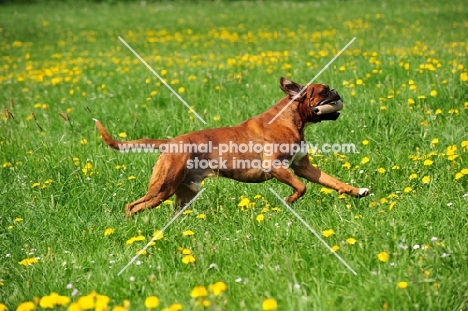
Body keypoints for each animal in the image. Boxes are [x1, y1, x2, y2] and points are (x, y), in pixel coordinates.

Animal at [93, 77, 368, 216]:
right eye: (323, 92)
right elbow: (301, 188)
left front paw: (357, 191)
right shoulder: (277, 168)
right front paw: (289, 201)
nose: (336, 91)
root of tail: (170, 143)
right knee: (133, 206)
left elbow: (333, 182)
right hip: (162, 188)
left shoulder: (304, 168)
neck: (291, 119)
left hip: (183, 192)